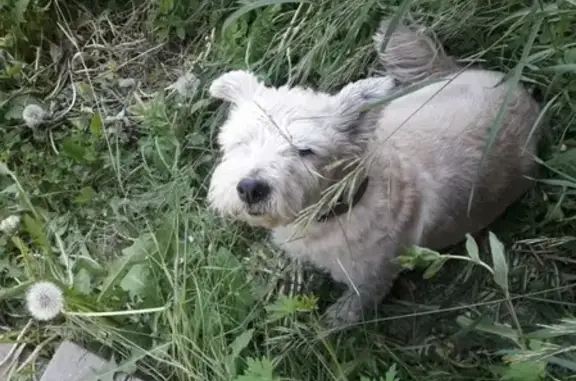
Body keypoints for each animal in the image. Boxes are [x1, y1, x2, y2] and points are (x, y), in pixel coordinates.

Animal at [206, 18, 540, 326]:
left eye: (305, 151)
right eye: (242, 141)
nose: (250, 188)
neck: (344, 203)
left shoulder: (371, 281)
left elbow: (351, 308)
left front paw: (332, 323)